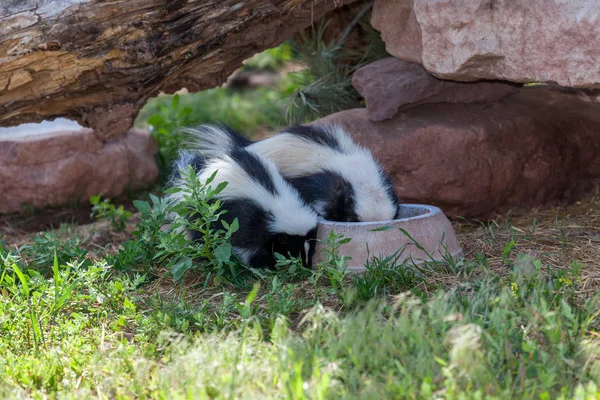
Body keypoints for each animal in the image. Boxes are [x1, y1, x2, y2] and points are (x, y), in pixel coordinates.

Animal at [165, 144, 318, 268]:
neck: (280, 203)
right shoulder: (248, 219)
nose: (307, 265)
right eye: (293, 249)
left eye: (312, 248)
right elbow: (248, 245)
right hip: (204, 216)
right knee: (202, 236)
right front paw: (263, 264)